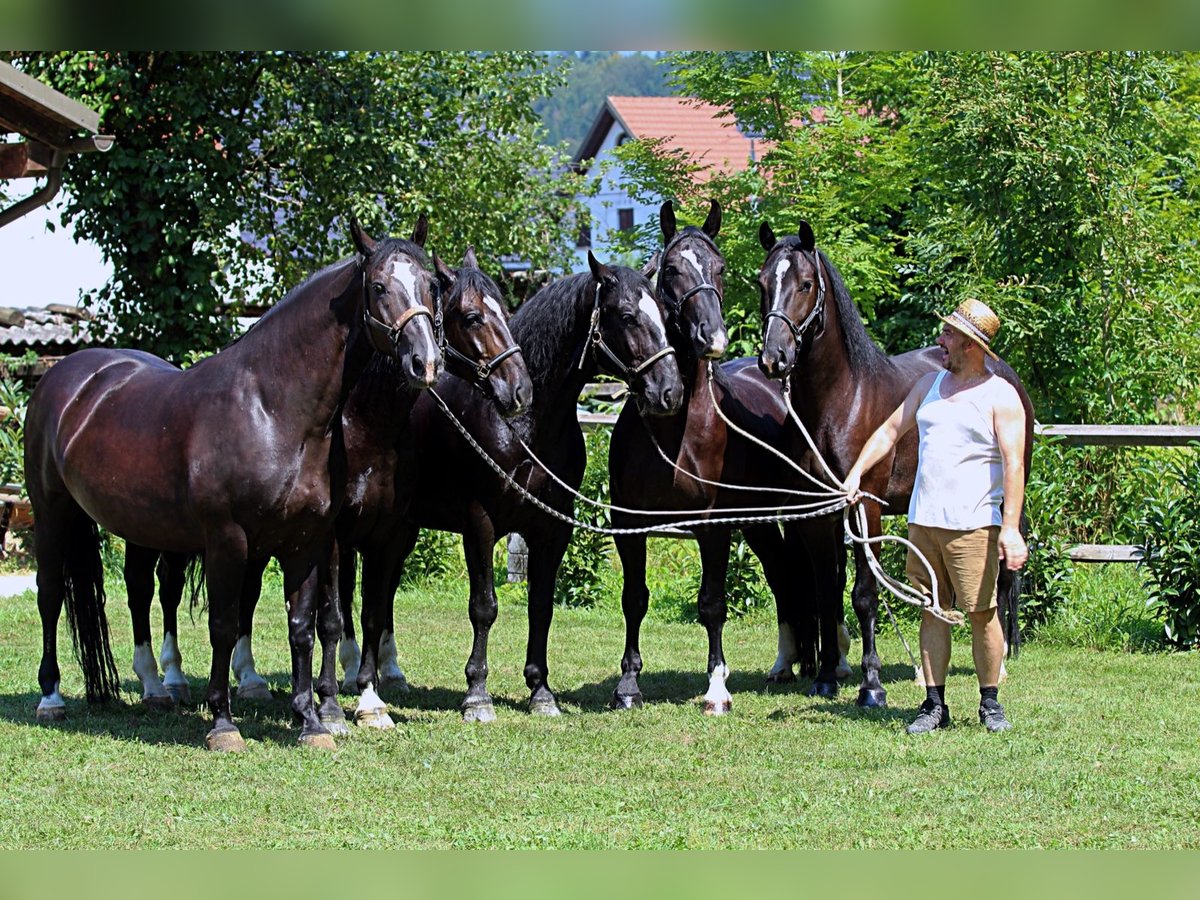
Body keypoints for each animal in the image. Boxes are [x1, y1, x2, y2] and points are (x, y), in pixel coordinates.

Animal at [25, 218, 444, 753]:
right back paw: (51, 697)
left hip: (139, 526)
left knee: (137, 592)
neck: (270, 407)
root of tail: (65, 378)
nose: (424, 364)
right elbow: (223, 626)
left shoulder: (306, 542)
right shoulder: (228, 540)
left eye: (430, 285)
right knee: (50, 596)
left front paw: (311, 722)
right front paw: (223, 723)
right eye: (378, 287)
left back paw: (155, 689)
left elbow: (302, 627)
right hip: (50, 512)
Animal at [350, 250, 686, 724]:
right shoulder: (480, 523)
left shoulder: (552, 528)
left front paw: (541, 690)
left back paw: (390, 674)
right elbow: (484, 607)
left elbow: (541, 606)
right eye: (626, 315)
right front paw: (477, 694)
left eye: (664, 315)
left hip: (403, 529)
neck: (524, 425)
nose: (670, 392)